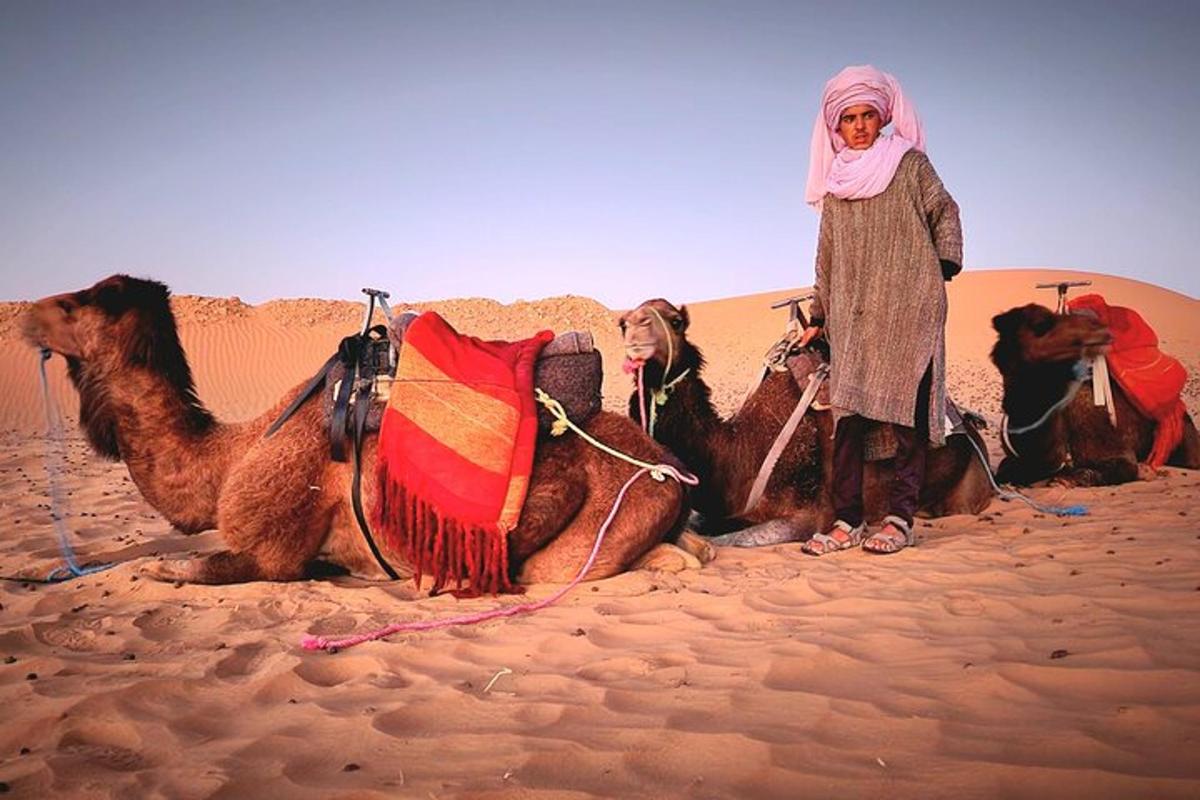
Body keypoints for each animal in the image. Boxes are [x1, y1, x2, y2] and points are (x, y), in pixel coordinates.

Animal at [25, 275, 696, 587]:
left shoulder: (270, 553)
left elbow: (177, 568)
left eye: (77, 303)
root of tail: (671, 468)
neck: (229, 454)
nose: (29, 314)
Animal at [619, 297, 993, 546]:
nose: (634, 328)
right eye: (624, 324)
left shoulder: (809, 514)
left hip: (969, 490)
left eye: (676, 321)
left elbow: (727, 540)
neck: (738, 449)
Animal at [988, 298, 1195, 489]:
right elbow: (1004, 469)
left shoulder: (1118, 453)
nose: (1097, 328)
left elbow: (1110, 470)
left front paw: (1063, 479)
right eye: (1042, 324)